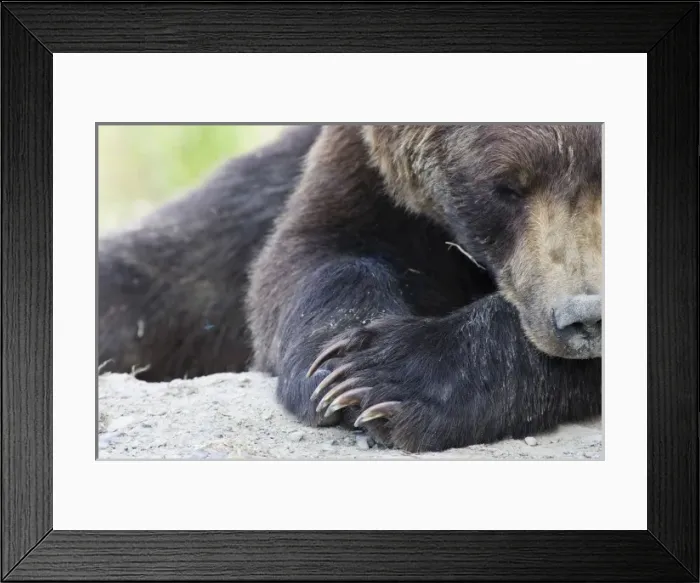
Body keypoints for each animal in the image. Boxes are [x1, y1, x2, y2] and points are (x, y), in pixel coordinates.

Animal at [98, 124, 602, 453]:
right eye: (506, 187)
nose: (584, 318)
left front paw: (387, 377)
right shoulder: (367, 174)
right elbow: (315, 252)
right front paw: (335, 370)